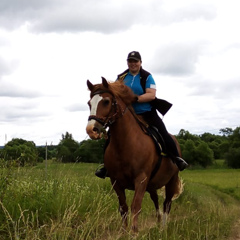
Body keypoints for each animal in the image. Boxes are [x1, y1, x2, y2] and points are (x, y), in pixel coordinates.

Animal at [85, 77, 183, 232]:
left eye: (106, 101)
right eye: (89, 103)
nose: (91, 130)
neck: (125, 144)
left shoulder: (141, 180)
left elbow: (135, 206)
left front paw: (134, 231)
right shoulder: (116, 182)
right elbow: (123, 208)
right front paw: (124, 231)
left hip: (171, 181)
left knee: (167, 203)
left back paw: (163, 228)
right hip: (152, 184)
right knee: (155, 199)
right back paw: (158, 221)